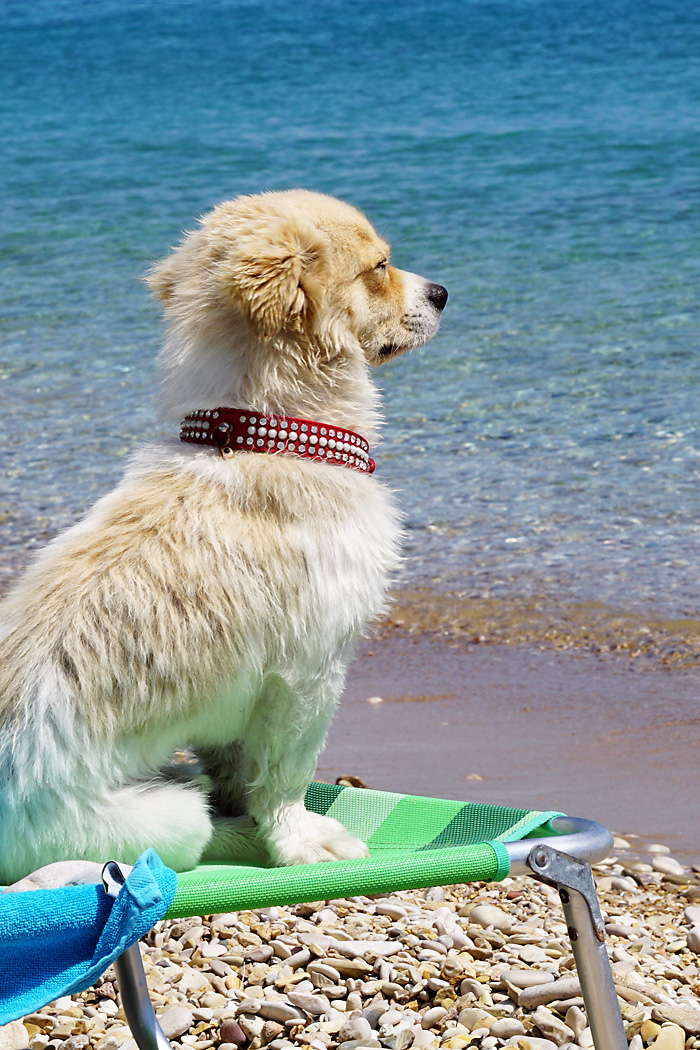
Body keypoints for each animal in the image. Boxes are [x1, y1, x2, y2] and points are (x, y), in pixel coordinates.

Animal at [0, 186, 449, 877]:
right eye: (379, 266)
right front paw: (300, 841)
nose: (442, 292)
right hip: (154, 818)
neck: (262, 432)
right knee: (198, 822)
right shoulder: (309, 673)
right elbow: (284, 776)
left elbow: (240, 769)